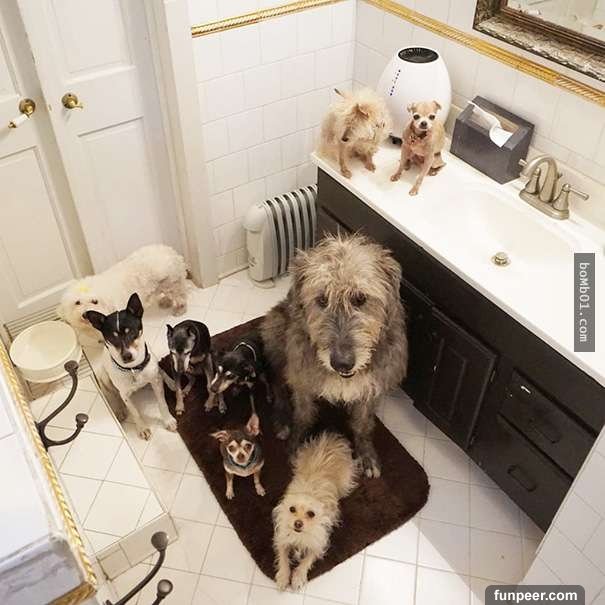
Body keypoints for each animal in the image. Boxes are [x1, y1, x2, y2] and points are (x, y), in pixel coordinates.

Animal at [59, 244, 188, 337]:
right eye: (77, 303)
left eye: (95, 301)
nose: (85, 314)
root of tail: (169, 251)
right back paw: (166, 302)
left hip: (170, 283)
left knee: (180, 296)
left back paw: (180, 308)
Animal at [85, 293, 177, 440]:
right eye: (112, 338)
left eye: (131, 332)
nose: (126, 356)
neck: (133, 369)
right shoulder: (125, 395)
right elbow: (134, 411)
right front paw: (142, 428)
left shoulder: (155, 382)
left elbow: (162, 403)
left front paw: (168, 420)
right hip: (104, 377)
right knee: (115, 394)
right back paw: (119, 409)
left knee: (161, 371)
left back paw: (171, 382)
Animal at [261, 234, 407, 478]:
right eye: (322, 300)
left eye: (360, 298)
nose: (342, 363)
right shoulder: (302, 377)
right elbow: (303, 414)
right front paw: (296, 443)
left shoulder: (371, 386)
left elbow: (363, 423)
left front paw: (365, 453)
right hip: (276, 333)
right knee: (277, 382)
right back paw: (282, 419)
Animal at [273, 432, 358, 591]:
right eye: (292, 509)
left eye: (311, 514)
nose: (298, 523)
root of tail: (329, 441)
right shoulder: (282, 539)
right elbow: (283, 558)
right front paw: (283, 576)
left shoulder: (317, 544)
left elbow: (306, 560)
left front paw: (298, 577)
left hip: (345, 483)